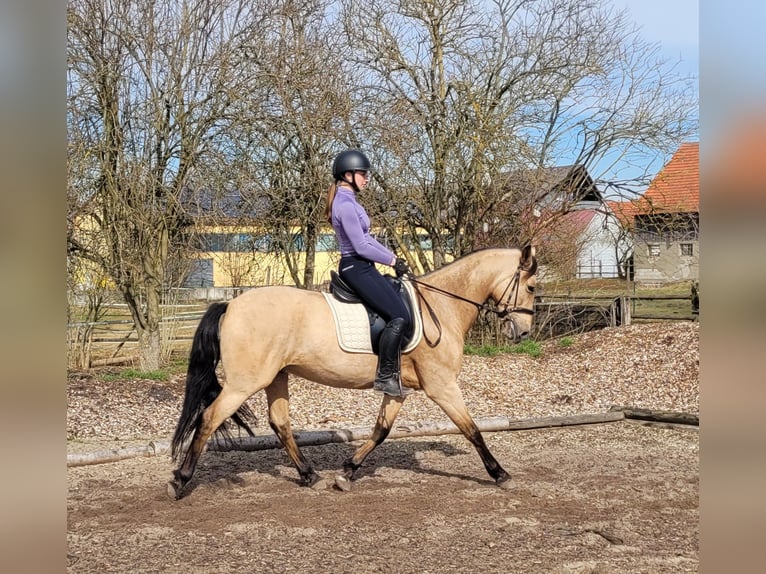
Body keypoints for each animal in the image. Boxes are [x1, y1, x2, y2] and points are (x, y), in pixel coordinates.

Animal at [168, 245, 540, 502]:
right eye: (533, 287)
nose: (523, 332)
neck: (442, 306)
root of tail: (231, 304)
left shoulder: (398, 388)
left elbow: (381, 430)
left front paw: (346, 472)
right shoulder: (442, 386)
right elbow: (472, 429)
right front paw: (500, 473)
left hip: (276, 377)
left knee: (280, 424)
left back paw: (309, 475)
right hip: (245, 382)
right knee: (209, 418)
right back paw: (180, 480)